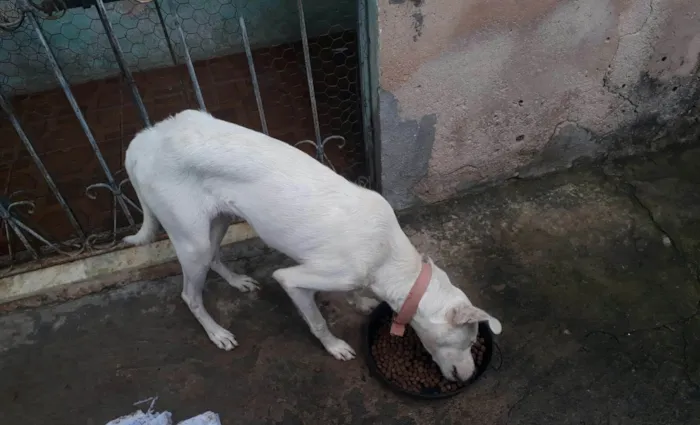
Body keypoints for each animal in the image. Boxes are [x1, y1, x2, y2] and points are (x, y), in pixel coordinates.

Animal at [121, 110, 504, 380]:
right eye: (470, 342)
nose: (468, 375)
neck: (387, 257)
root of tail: (145, 139)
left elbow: (356, 294)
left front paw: (361, 301)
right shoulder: (294, 279)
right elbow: (317, 321)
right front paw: (334, 347)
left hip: (217, 222)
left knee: (214, 258)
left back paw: (237, 281)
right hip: (193, 240)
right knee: (190, 295)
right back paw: (217, 333)